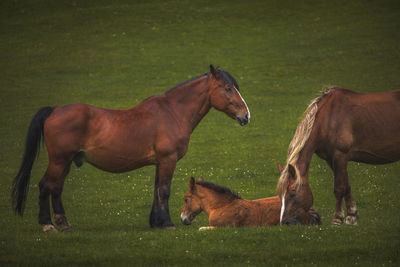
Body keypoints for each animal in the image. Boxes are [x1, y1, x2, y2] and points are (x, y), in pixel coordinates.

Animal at [10, 65, 250, 232]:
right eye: (228, 88)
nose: (246, 115)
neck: (172, 112)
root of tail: (54, 110)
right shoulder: (168, 159)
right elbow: (164, 190)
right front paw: (167, 223)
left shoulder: (160, 162)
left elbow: (156, 190)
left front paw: (156, 222)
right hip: (59, 160)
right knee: (45, 186)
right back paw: (48, 224)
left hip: (67, 162)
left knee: (56, 188)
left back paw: (64, 224)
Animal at [181, 177, 322, 231]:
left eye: (186, 199)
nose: (183, 219)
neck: (222, 206)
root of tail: (308, 211)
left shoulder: (226, 228)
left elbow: (201, 228)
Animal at [278, 88, 400, 226]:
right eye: (279, 194)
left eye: (292, 193)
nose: (284, 222)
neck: (328, 119)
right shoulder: (331, 159)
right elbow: (347, 186)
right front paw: (352, 216)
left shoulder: (340, 156)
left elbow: (339, 188)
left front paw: (337, 219)